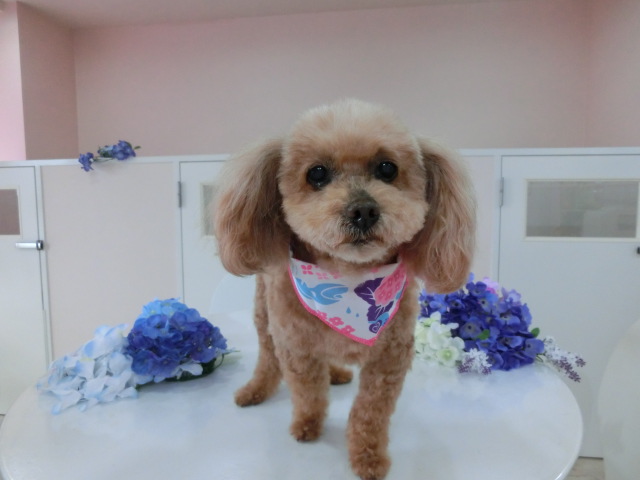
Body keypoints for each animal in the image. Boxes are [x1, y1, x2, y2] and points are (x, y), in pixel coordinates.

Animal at [213, 99, 475, 479]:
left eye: (387, 168)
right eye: (317, 173)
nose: (363, 210)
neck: (348, 280)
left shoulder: (389, 358)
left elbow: (370, 412)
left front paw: (368, 457)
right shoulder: (296, 347)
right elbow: (308, 392)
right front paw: (307, 426)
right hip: (264, 313)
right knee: (267, 355)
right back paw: (256, 389)